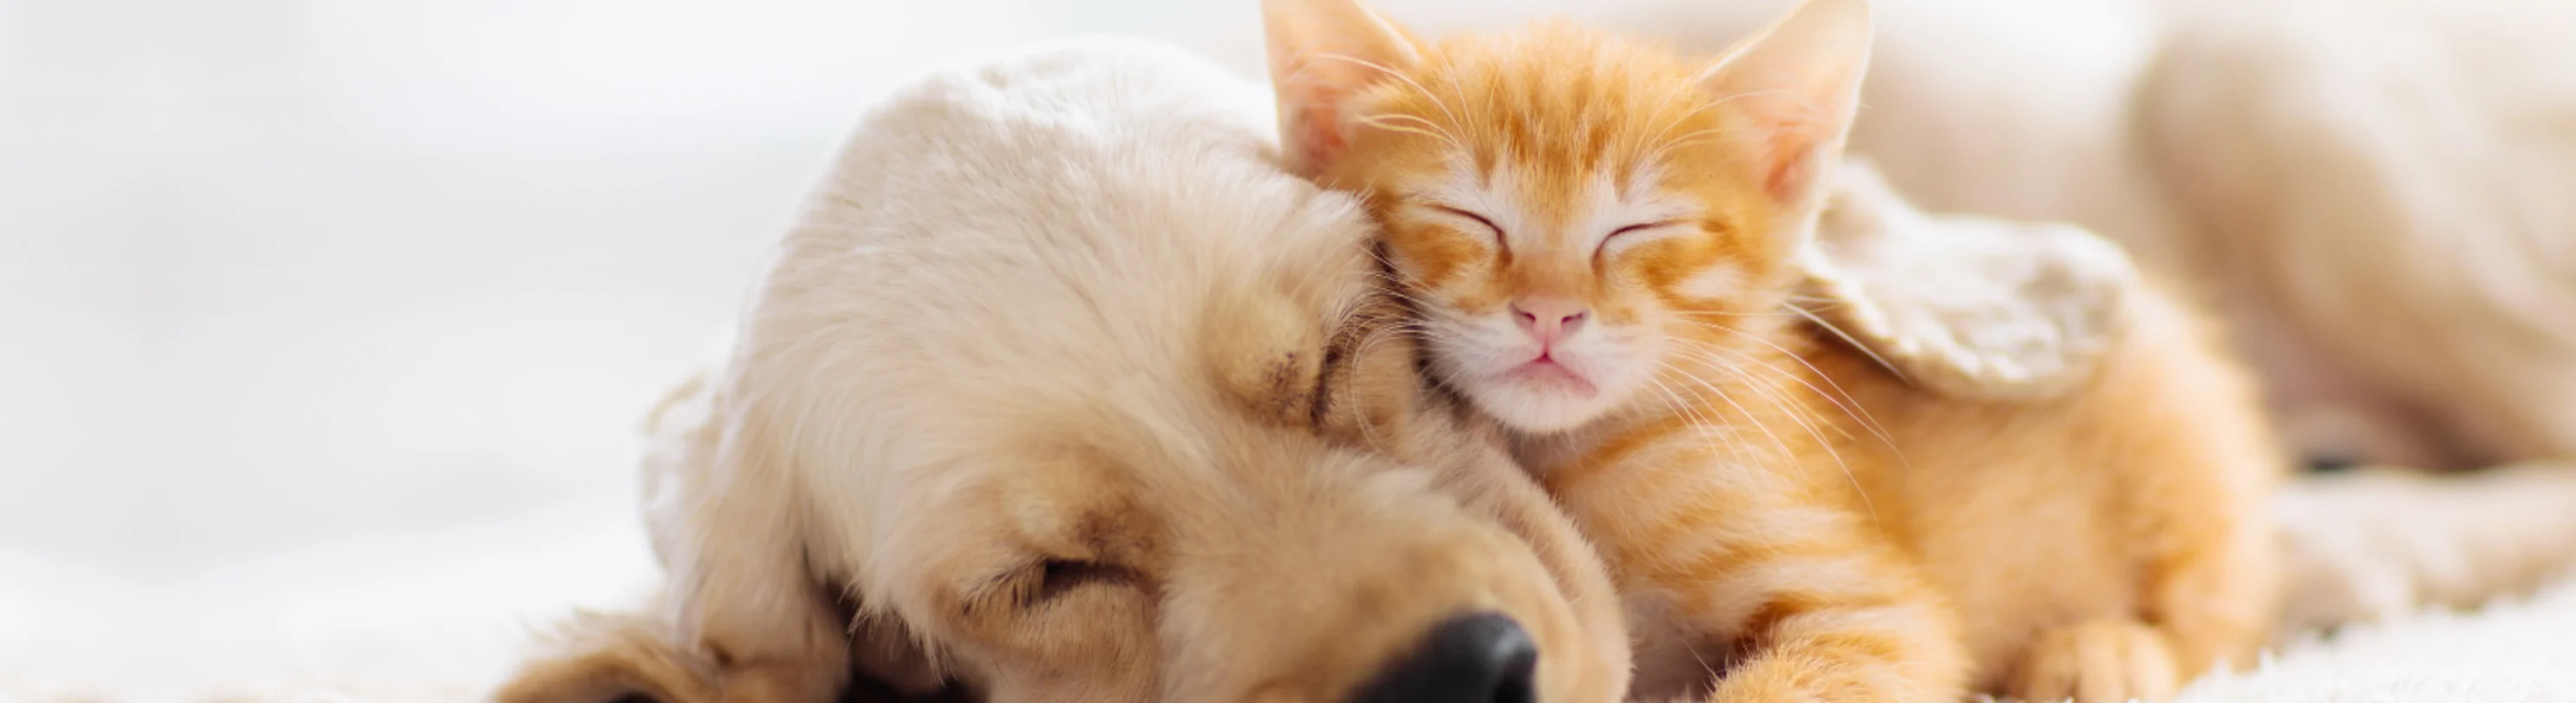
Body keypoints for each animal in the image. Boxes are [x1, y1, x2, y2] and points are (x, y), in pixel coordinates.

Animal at [1257, 1, 2287, 700]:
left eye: (1638, 229)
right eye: (1467, 215)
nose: (1548, 313)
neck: (1572, 458)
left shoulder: (1875, 612)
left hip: (2182, 456)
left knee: (2221, 615)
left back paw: (2106, 651)